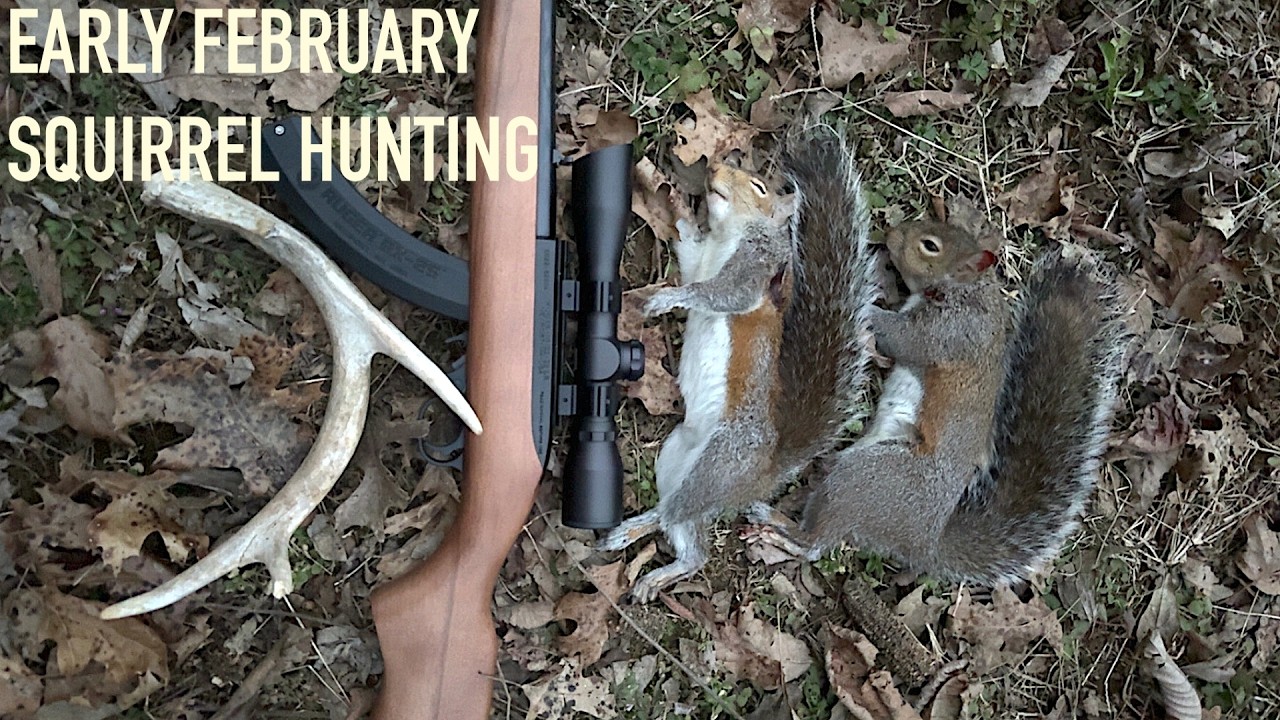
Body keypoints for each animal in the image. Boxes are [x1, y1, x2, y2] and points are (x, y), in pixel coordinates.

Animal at [598, 139, 879, 601]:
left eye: (759, 186)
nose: (711, 170)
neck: (726, 236)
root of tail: (762, 476)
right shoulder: (700, 258)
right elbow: (691, 259)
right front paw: (679, 211)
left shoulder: (754, 269)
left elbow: (716, 293)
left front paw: (667, 299)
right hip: (674, 459)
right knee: (688, 539)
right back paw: (654, 564)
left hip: (717, 464)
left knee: (674, 515)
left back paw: (635, 534)